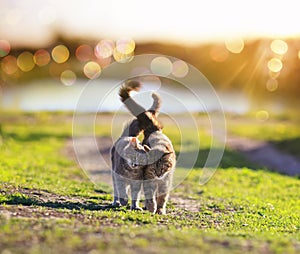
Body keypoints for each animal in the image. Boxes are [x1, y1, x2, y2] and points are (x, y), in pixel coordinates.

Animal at [110, 80, 162, 209]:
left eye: (142, 160)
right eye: (133, 156)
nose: (135, 164)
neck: (131, 172)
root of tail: (127, 135)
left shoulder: (137, 182)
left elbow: (135, 195)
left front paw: (134, 206)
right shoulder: (119, 178)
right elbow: (121, 191)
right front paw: (123, 201)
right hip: (113, 174)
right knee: (116, 191)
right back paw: (116, 202)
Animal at [119, 80, 176, 214]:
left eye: (163, 167)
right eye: (153, 168)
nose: (158, 175)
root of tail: (154, 130)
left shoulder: (165, 182)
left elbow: (162, 198)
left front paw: (160, 210)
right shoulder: (148, 179)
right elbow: (150, 195)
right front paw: (151, 207)